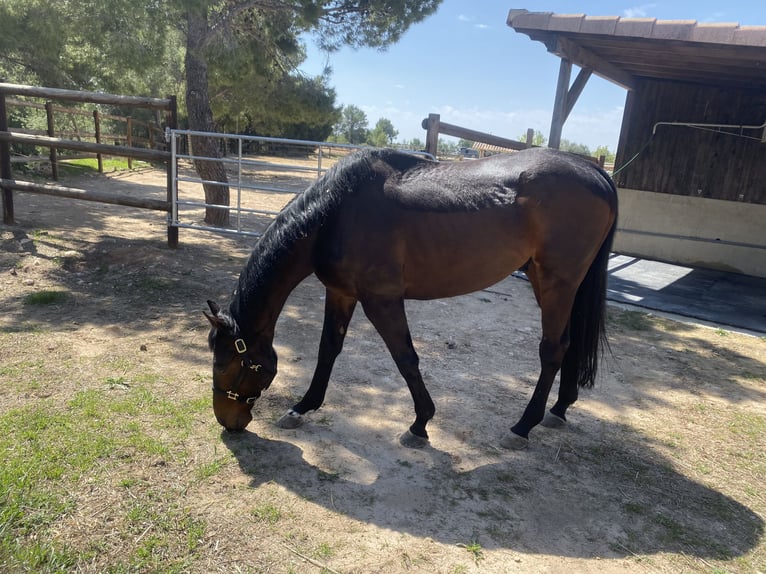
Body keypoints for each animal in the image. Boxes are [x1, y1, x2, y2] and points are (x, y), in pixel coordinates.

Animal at [207, 147, 620, 450]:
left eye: (227, 365)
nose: (228, 422)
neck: (336, 212)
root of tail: (595, 172)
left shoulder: (381, 299)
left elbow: (405, 358)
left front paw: (420, 423)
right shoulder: (341, 293)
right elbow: (329, 349)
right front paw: (301, 408)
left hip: (557, 283)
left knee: (552, 349)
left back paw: (523, 426)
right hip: (550, 281)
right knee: (570, 343)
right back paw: (559, 408)